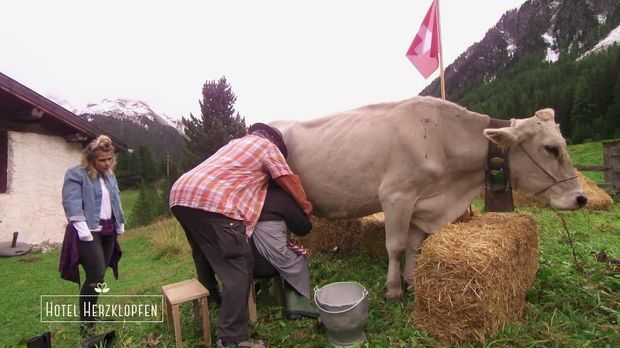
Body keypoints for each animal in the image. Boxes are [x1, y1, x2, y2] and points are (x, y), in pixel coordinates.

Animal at [272, 96, 588, 302]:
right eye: (551, 148)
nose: (581, 198)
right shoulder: (396, 196)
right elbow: (396, 246)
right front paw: (394, 290)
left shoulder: (421, 203)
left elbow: (414, 246)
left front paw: (411, 282)